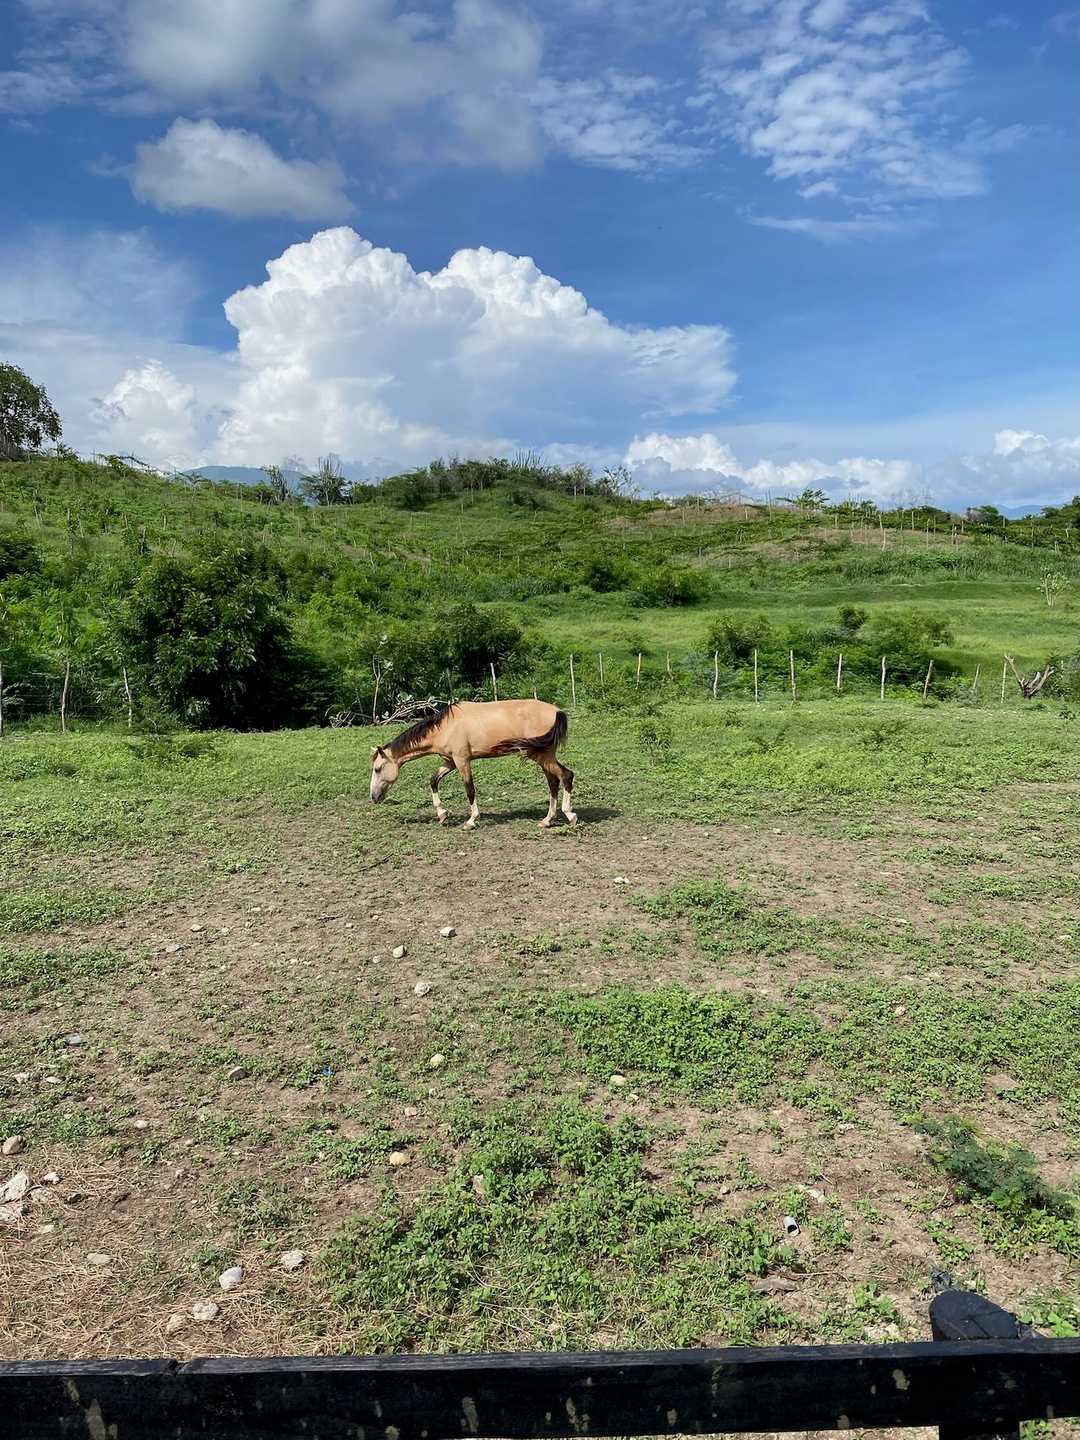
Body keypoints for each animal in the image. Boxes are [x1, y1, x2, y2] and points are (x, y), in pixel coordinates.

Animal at [369, 699, 576, 830]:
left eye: (378, 769)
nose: (374, 797)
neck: (446, 727)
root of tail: (557, 711)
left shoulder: (462, 761)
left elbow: (470, 790)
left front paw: (471, 821)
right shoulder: (450, 762)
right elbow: (433, 780)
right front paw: (442, 814)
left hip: (541, 755)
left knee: (566, 775)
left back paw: (570, 815)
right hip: (544, 756)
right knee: (553, 783)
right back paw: (547, 820)